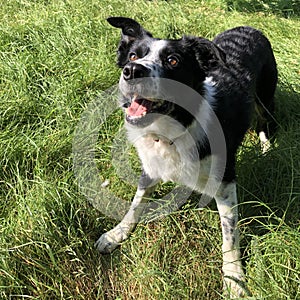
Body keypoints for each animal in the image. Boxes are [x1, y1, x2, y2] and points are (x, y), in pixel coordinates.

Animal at [95, 17, 276, 296]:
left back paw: (266, 148)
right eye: (133, 55)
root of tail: (250, 27)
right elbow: (135, 204)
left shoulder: (225, 181)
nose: (132, 70)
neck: (176, 126)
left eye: (173, 61)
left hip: (265, 97)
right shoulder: (150, 168)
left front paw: (234, 278)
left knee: (266, 122)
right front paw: (117, 234)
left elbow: (229, 236)